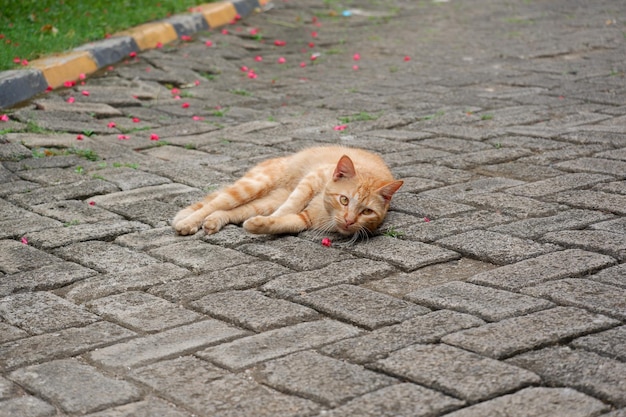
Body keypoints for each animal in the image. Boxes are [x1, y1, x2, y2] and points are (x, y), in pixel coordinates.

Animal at [172, 145, 404, 237]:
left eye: (366, 212)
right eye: (344, 200)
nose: (349, 221)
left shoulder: (305, 219)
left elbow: (284, 223)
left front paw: (260, 225)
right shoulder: (310, 181)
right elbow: (290, 207)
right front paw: (272, 219)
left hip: (265, 201)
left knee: (231, 211)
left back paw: (214, 221)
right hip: (252, 186)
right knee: (214, 203)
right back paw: (188, 222)